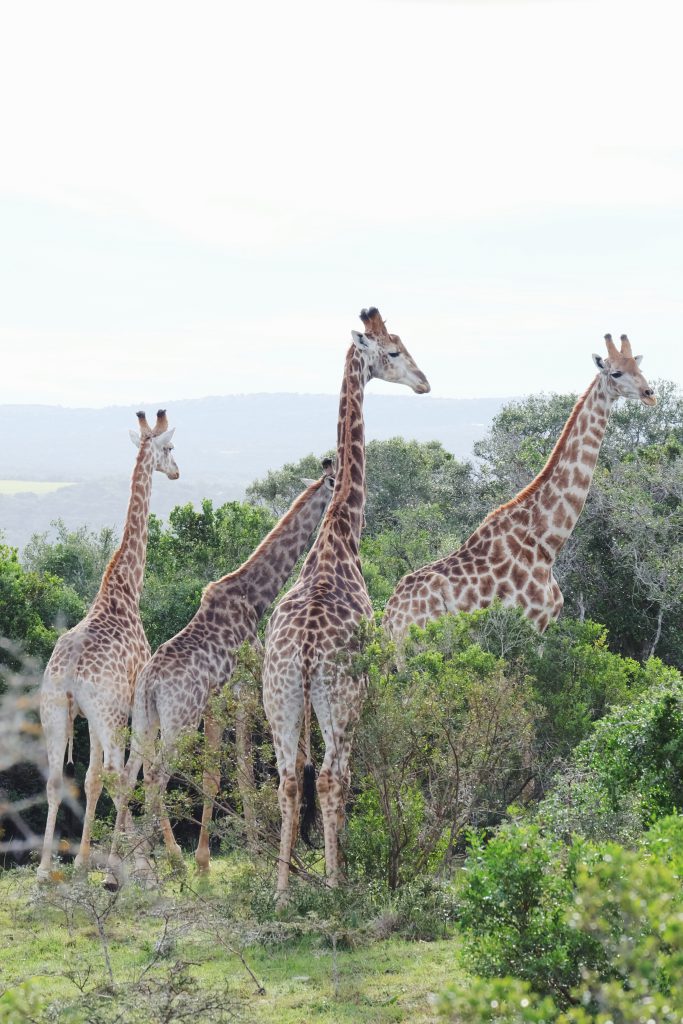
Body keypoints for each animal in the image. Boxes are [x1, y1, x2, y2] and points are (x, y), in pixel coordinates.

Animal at [36, 407, 179, 880]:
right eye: (170, 447)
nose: (176, 470)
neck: (125, 588)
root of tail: (66, 674)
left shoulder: (89, 715)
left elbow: (92, 778)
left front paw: (82, 860)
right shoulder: (133, 698)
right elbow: (139, 770)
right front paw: (166, 852)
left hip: (54, 711)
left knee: (57, 780)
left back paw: (45, 870)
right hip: (108, 713)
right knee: (121, 773)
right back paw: (140, 866)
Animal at [105, 458, 335, 880]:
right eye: (334, 478)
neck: (254, 597)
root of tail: (149, 684)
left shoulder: (215, 701)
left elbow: (212, 777)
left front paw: (206, 860)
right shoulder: (242, 690)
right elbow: (243, 775)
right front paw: (254, 854)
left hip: (144, 718)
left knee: (130, 775)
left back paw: (118, 868)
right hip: (180, 720)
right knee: (156, 776)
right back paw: (170, 862)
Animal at [264, 305, 430, 897]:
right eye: (395, 350)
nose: (425, 383)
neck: (342, 529)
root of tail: (307, 653)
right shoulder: (367, 687)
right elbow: (347, 778)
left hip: (279, 696)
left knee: (290, 779)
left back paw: (283, 891)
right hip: (339, 698)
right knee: (335, 776)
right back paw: (337, 888)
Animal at [385, 331, 655, 643]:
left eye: (639, 368)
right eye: (616, 372)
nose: (650, 393)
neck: (547, 542)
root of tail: (388, 618)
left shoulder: (545, 626)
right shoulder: (529, 624)